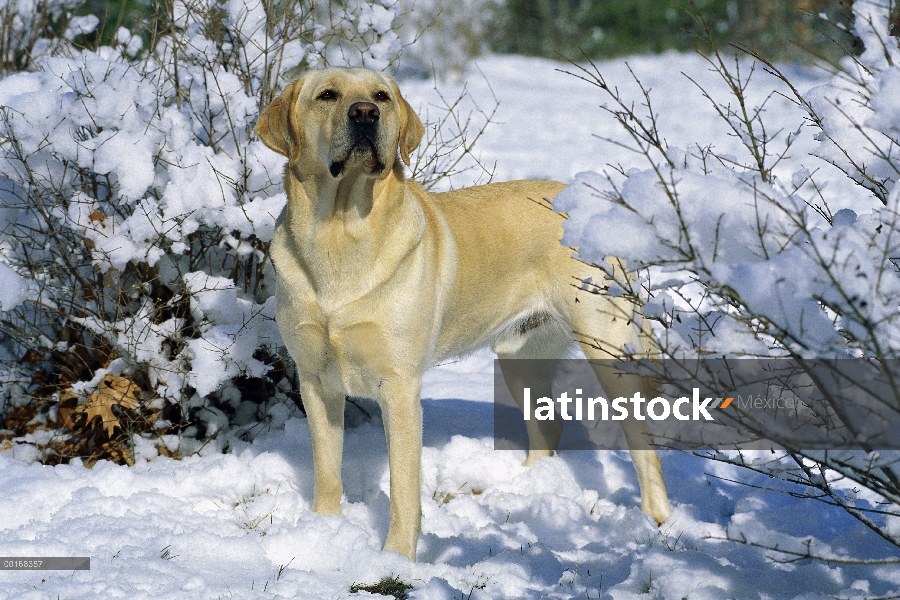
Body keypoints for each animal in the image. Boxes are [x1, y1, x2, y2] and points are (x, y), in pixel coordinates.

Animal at [253, 68, 668, 560]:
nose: (365, 114)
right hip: (521, 356)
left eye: (381, 97)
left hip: (607, 344)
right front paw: (323, 531)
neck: (339, 231)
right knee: (548, 427)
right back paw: (529, 489)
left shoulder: (399, 386)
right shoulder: (315, 380)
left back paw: (657, 519)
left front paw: (397, 557)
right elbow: (327, 471)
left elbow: (403, 489)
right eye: (328, 95)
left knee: (641, 439)